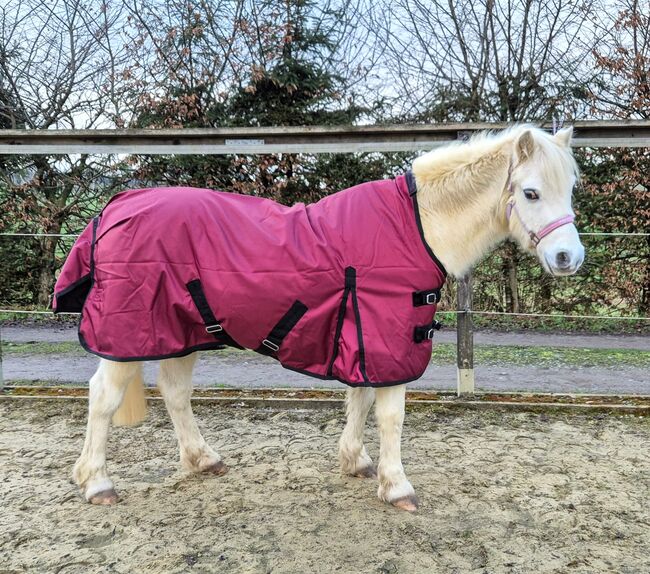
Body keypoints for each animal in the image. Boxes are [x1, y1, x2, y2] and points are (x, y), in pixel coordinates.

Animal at [62, 124, 583, 512]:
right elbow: (389, 413)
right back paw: (97, 483)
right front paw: (397, 486)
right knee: (103, 397)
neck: (416, 225)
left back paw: (203, 460)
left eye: (570, 190)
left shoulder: (365, 337)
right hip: (128, 340)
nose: (568, 258)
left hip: (183, 333)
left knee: (175, 392)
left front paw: (357, 462)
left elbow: (360, 399)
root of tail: (114, 208)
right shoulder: (385, 336)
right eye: (531, 193)